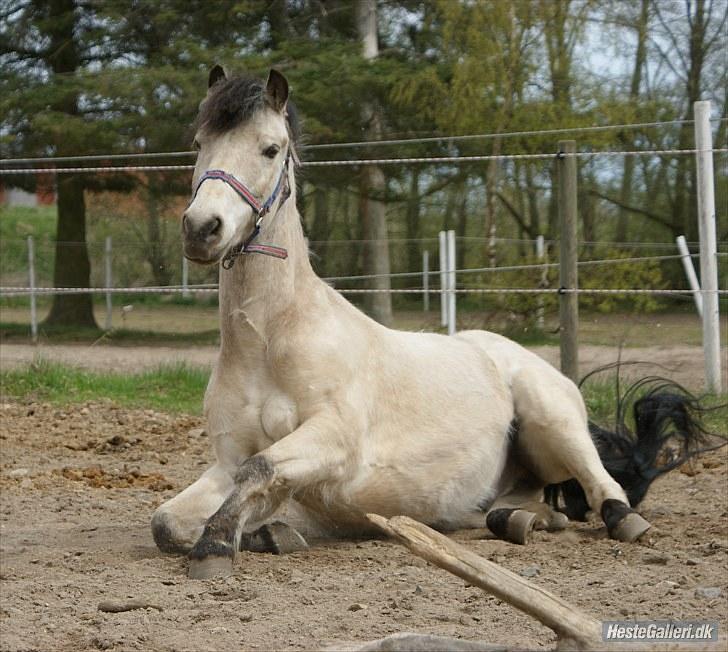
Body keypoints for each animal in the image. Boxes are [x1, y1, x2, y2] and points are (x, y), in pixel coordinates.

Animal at [151, 66, 712, 580]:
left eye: (270, 149)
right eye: (200, 144)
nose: (202, 229)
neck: (270, 339)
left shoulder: (335, 442)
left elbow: (260, 468)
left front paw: (218, 543)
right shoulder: (226, 461)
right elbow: (167, 521)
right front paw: (267, 531)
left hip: (553, 419)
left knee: (603, 489)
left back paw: (618, 521)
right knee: (517, 507)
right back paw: (519, 521)